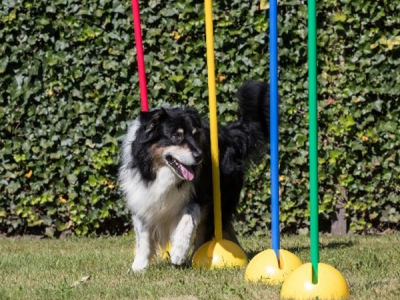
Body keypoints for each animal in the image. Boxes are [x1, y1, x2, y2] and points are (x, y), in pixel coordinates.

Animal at [119, 80, 268, 272]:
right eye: (176, 135)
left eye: (196, 135)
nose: (200, 156)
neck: (161, 172)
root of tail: (230, 133)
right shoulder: (142, 196)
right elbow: (142, 235)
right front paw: (139, 266)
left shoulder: (199, 194)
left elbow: (187, 221)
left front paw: (178, 252)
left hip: (220, 198)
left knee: (209, 228)